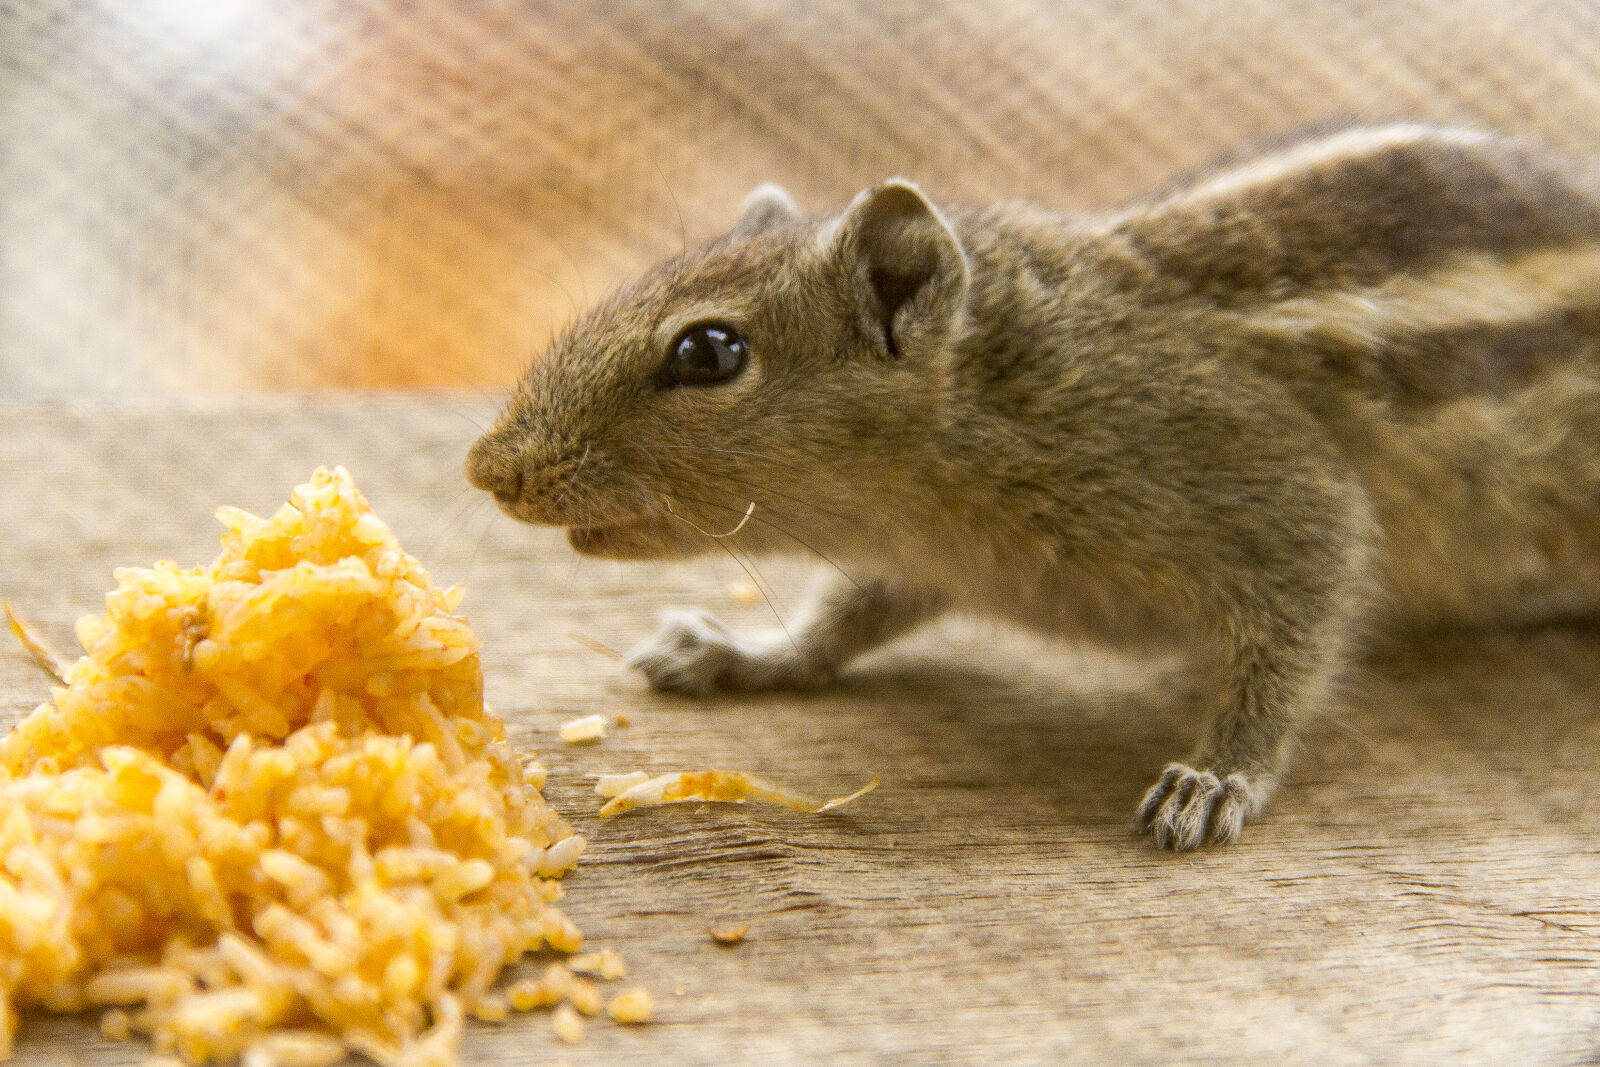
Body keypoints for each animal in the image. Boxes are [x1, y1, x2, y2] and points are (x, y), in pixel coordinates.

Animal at [466, 124, 1600, 850]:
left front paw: (1215, 774)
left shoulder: (1278, 491)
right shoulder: (921, 555)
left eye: (708, 352)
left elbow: (1296, 622)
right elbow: (843, 619)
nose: (488, 468)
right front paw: (741, 652)